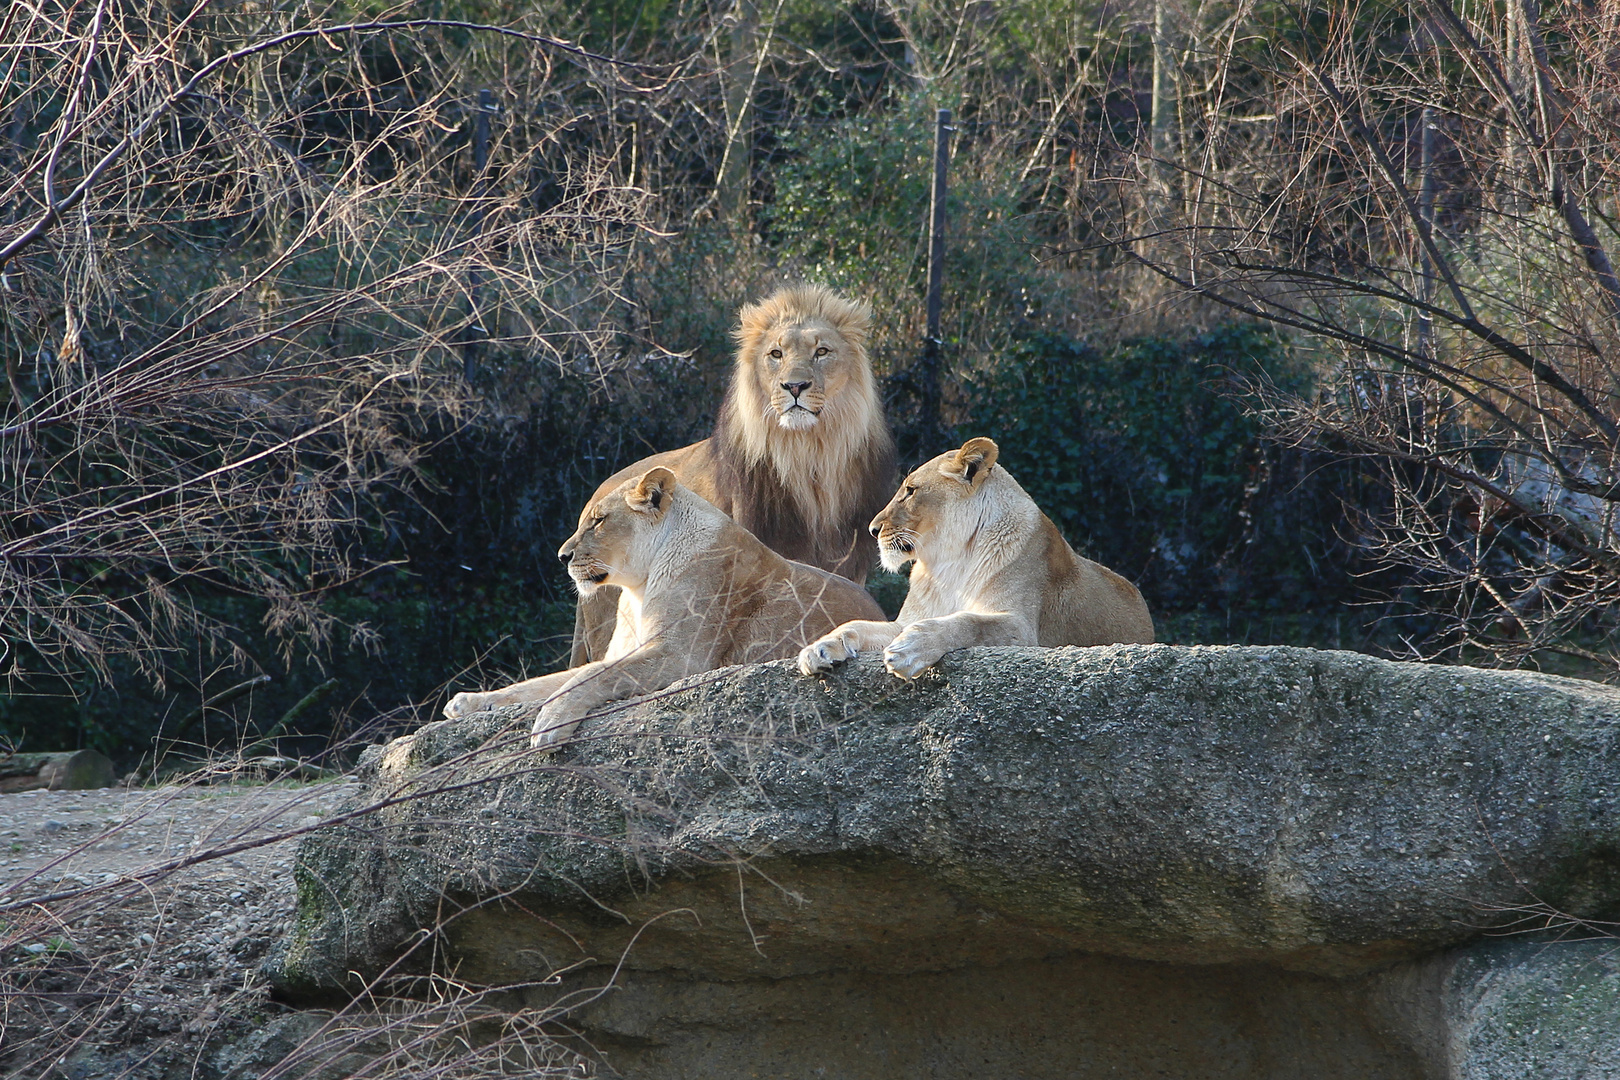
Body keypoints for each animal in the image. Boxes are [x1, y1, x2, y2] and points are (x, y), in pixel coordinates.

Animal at [447, 466, 887, 751]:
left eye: (598, 521)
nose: (562, 556)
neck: (637, 588)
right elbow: (542, 683)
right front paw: (468, 703)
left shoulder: (680, 657)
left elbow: (591, 675)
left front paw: (550, 723)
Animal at [797, 437, 1153, 676]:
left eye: (910, 490)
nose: (872, 529)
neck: (948, 562)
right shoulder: (904, 620)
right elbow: (856, 623)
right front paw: (820, 647)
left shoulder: (1023, 629)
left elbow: (969, 622)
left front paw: (911, 648)